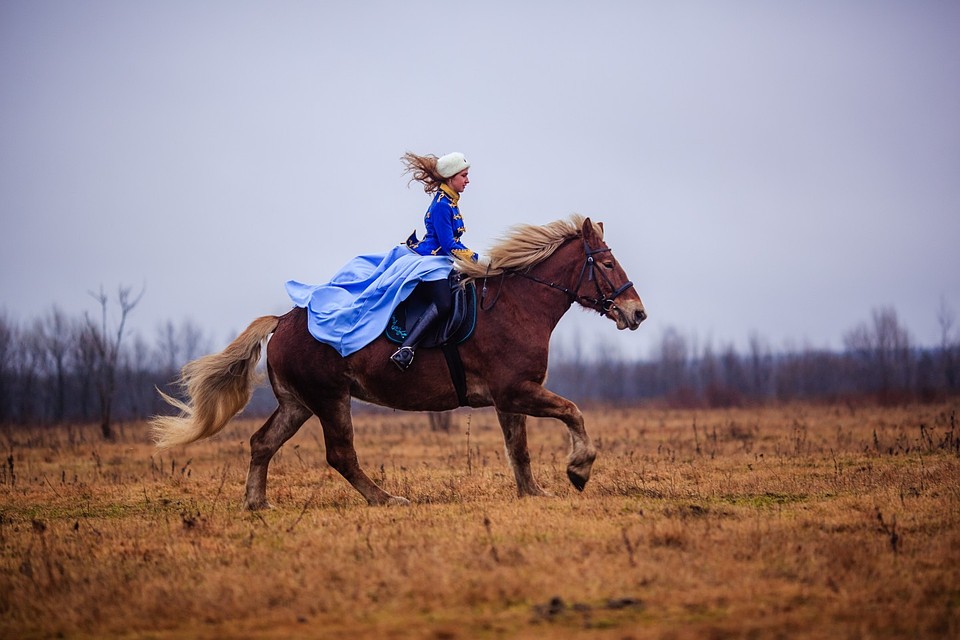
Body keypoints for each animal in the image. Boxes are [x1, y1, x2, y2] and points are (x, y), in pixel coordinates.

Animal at [152, 215, 644, 510]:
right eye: (606, 263)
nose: (637, 313)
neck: (517, 306)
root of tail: (284, 320)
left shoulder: (510, 398)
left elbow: (518, 449)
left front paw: (533, 493)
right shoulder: (517, 391)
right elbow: (573, 412)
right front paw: (578, 470)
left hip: (298, 403)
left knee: (261, 443)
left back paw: (257, 503)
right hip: (330, 399)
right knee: (340, 455)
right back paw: (385, 499)